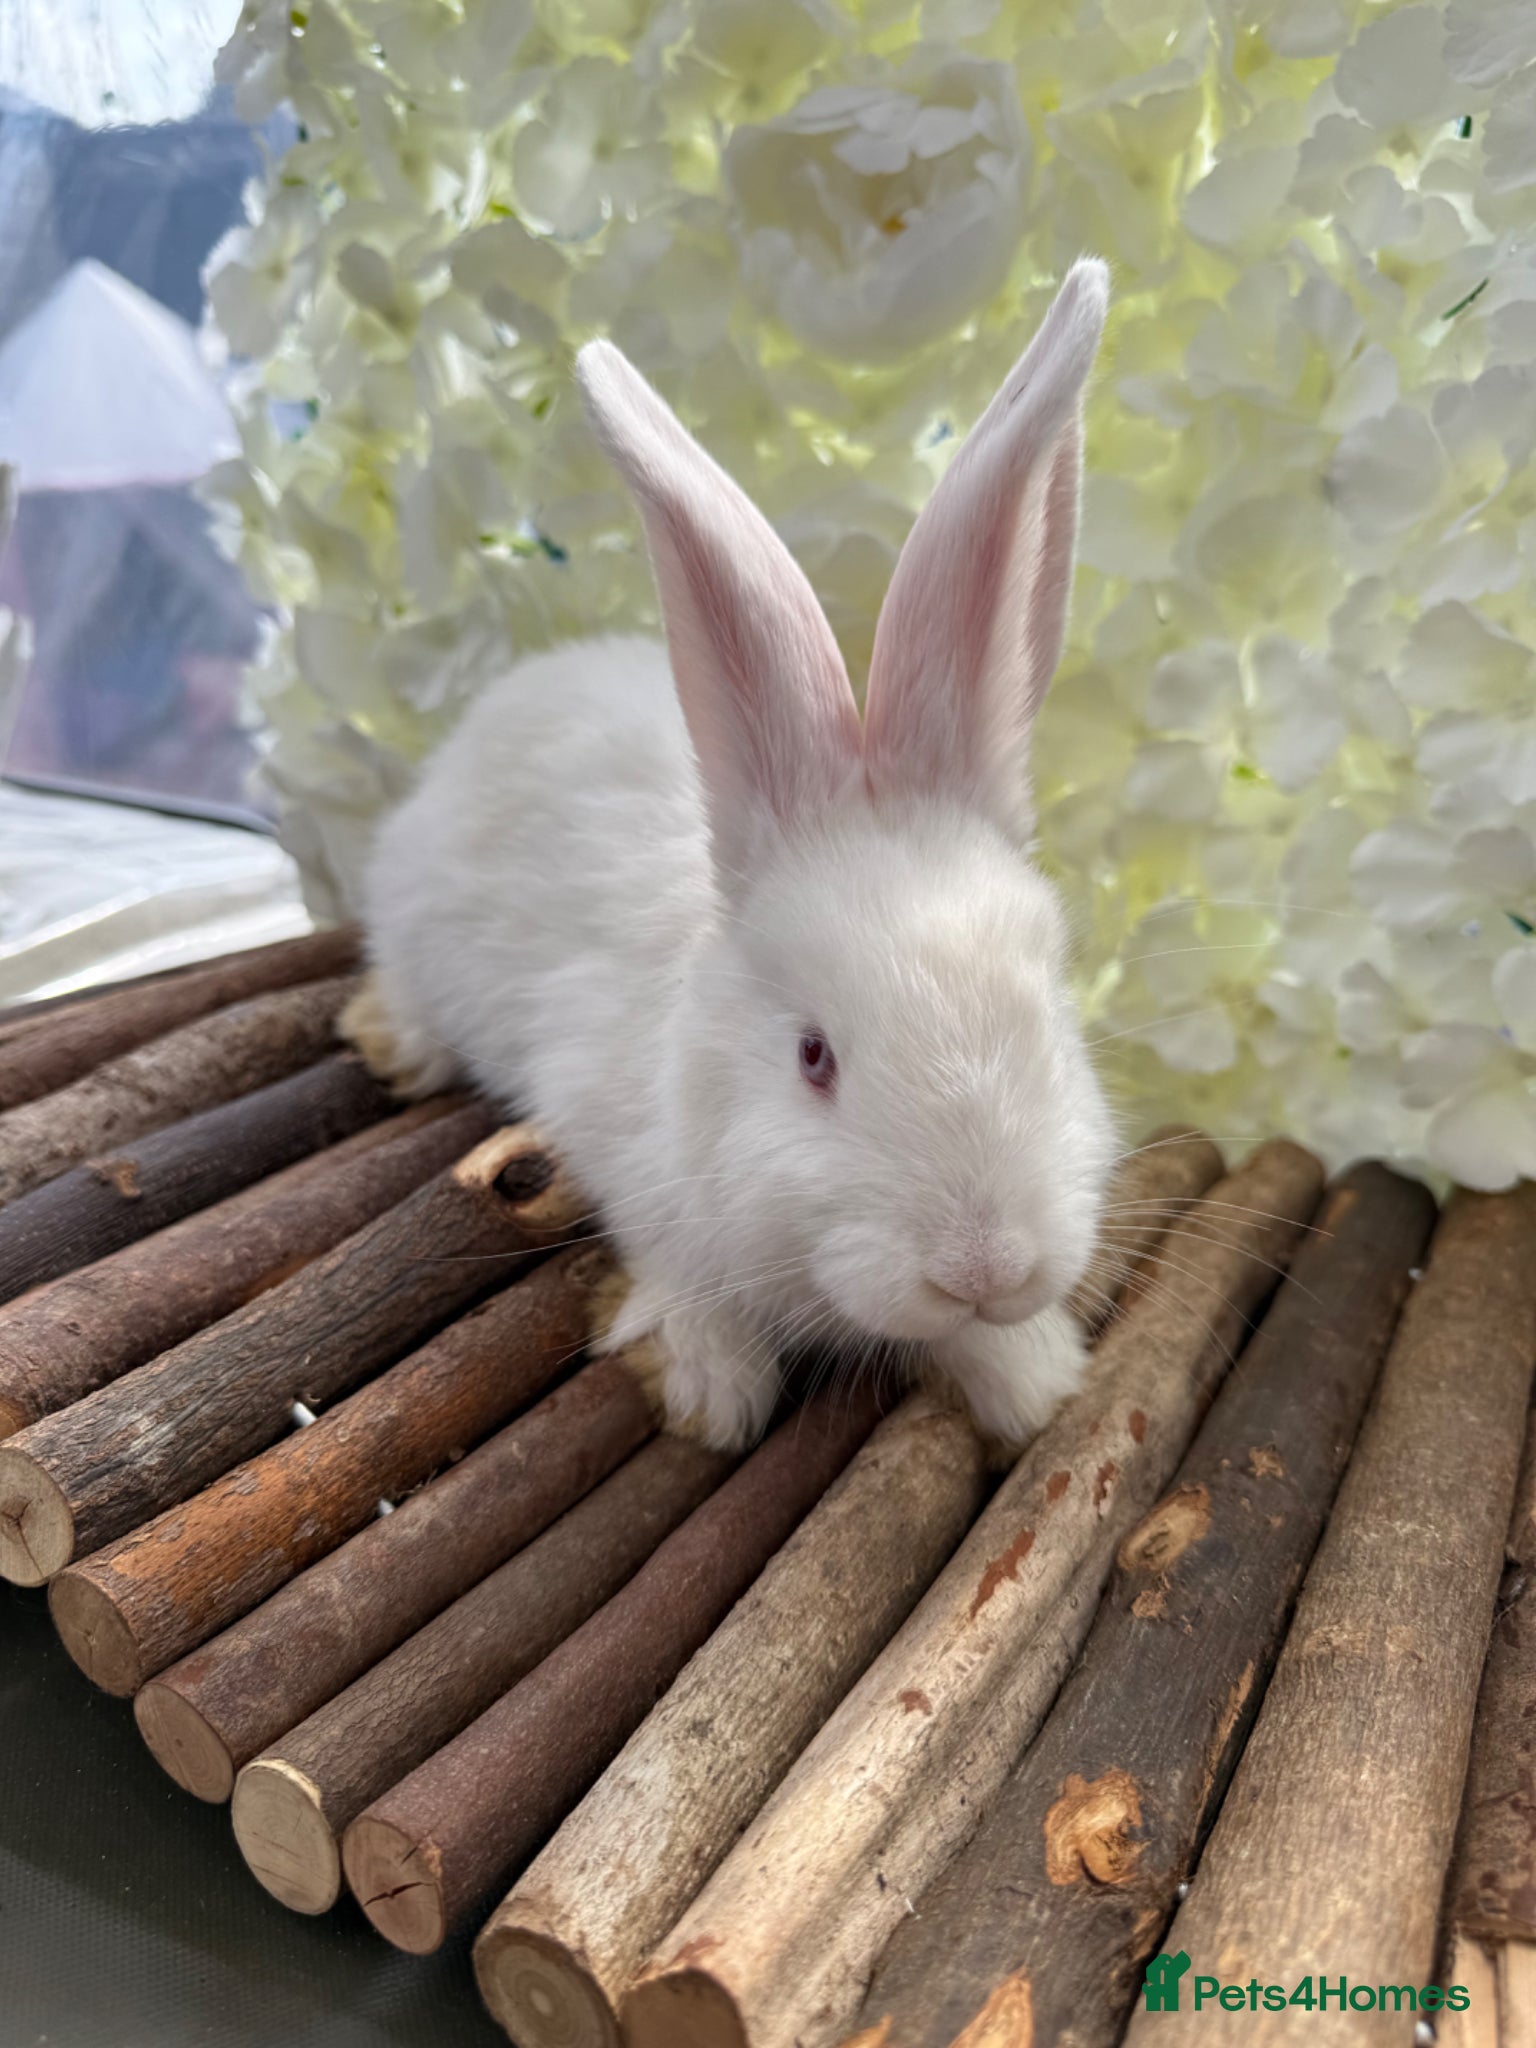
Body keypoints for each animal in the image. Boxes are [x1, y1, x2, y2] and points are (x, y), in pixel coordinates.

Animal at [349, 257, 1118, 1453]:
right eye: (813, 1056)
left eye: (1050, 1020)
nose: (985, 1267)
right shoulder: (617, 1136)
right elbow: (672, 1275)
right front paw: (705, 1386)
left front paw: (1029, 1375)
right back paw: (389, 1042)